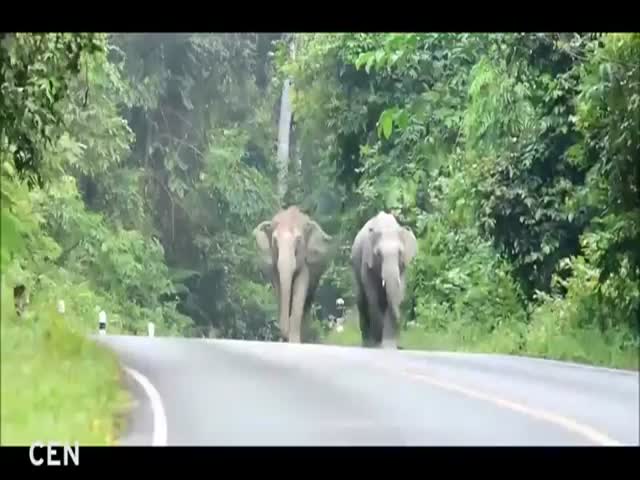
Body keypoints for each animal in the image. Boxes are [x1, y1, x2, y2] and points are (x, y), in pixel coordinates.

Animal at [252, 205, 332, 342]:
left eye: (298, 240)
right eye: (274, 241)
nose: (285, 334)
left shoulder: (305, 260)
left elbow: (300, 288)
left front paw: (295, 341)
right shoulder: (274, 265)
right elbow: (279, 289)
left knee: (308, 302)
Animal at [350, 210, 420, 348]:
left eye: (400, 253)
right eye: (378, 254)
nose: (400, 345)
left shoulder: (403, 268)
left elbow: (399, 290)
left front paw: (389, 345)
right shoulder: (367, 261)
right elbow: (372, 297)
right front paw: (377, 344)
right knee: (362, 301)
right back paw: (368, 343)